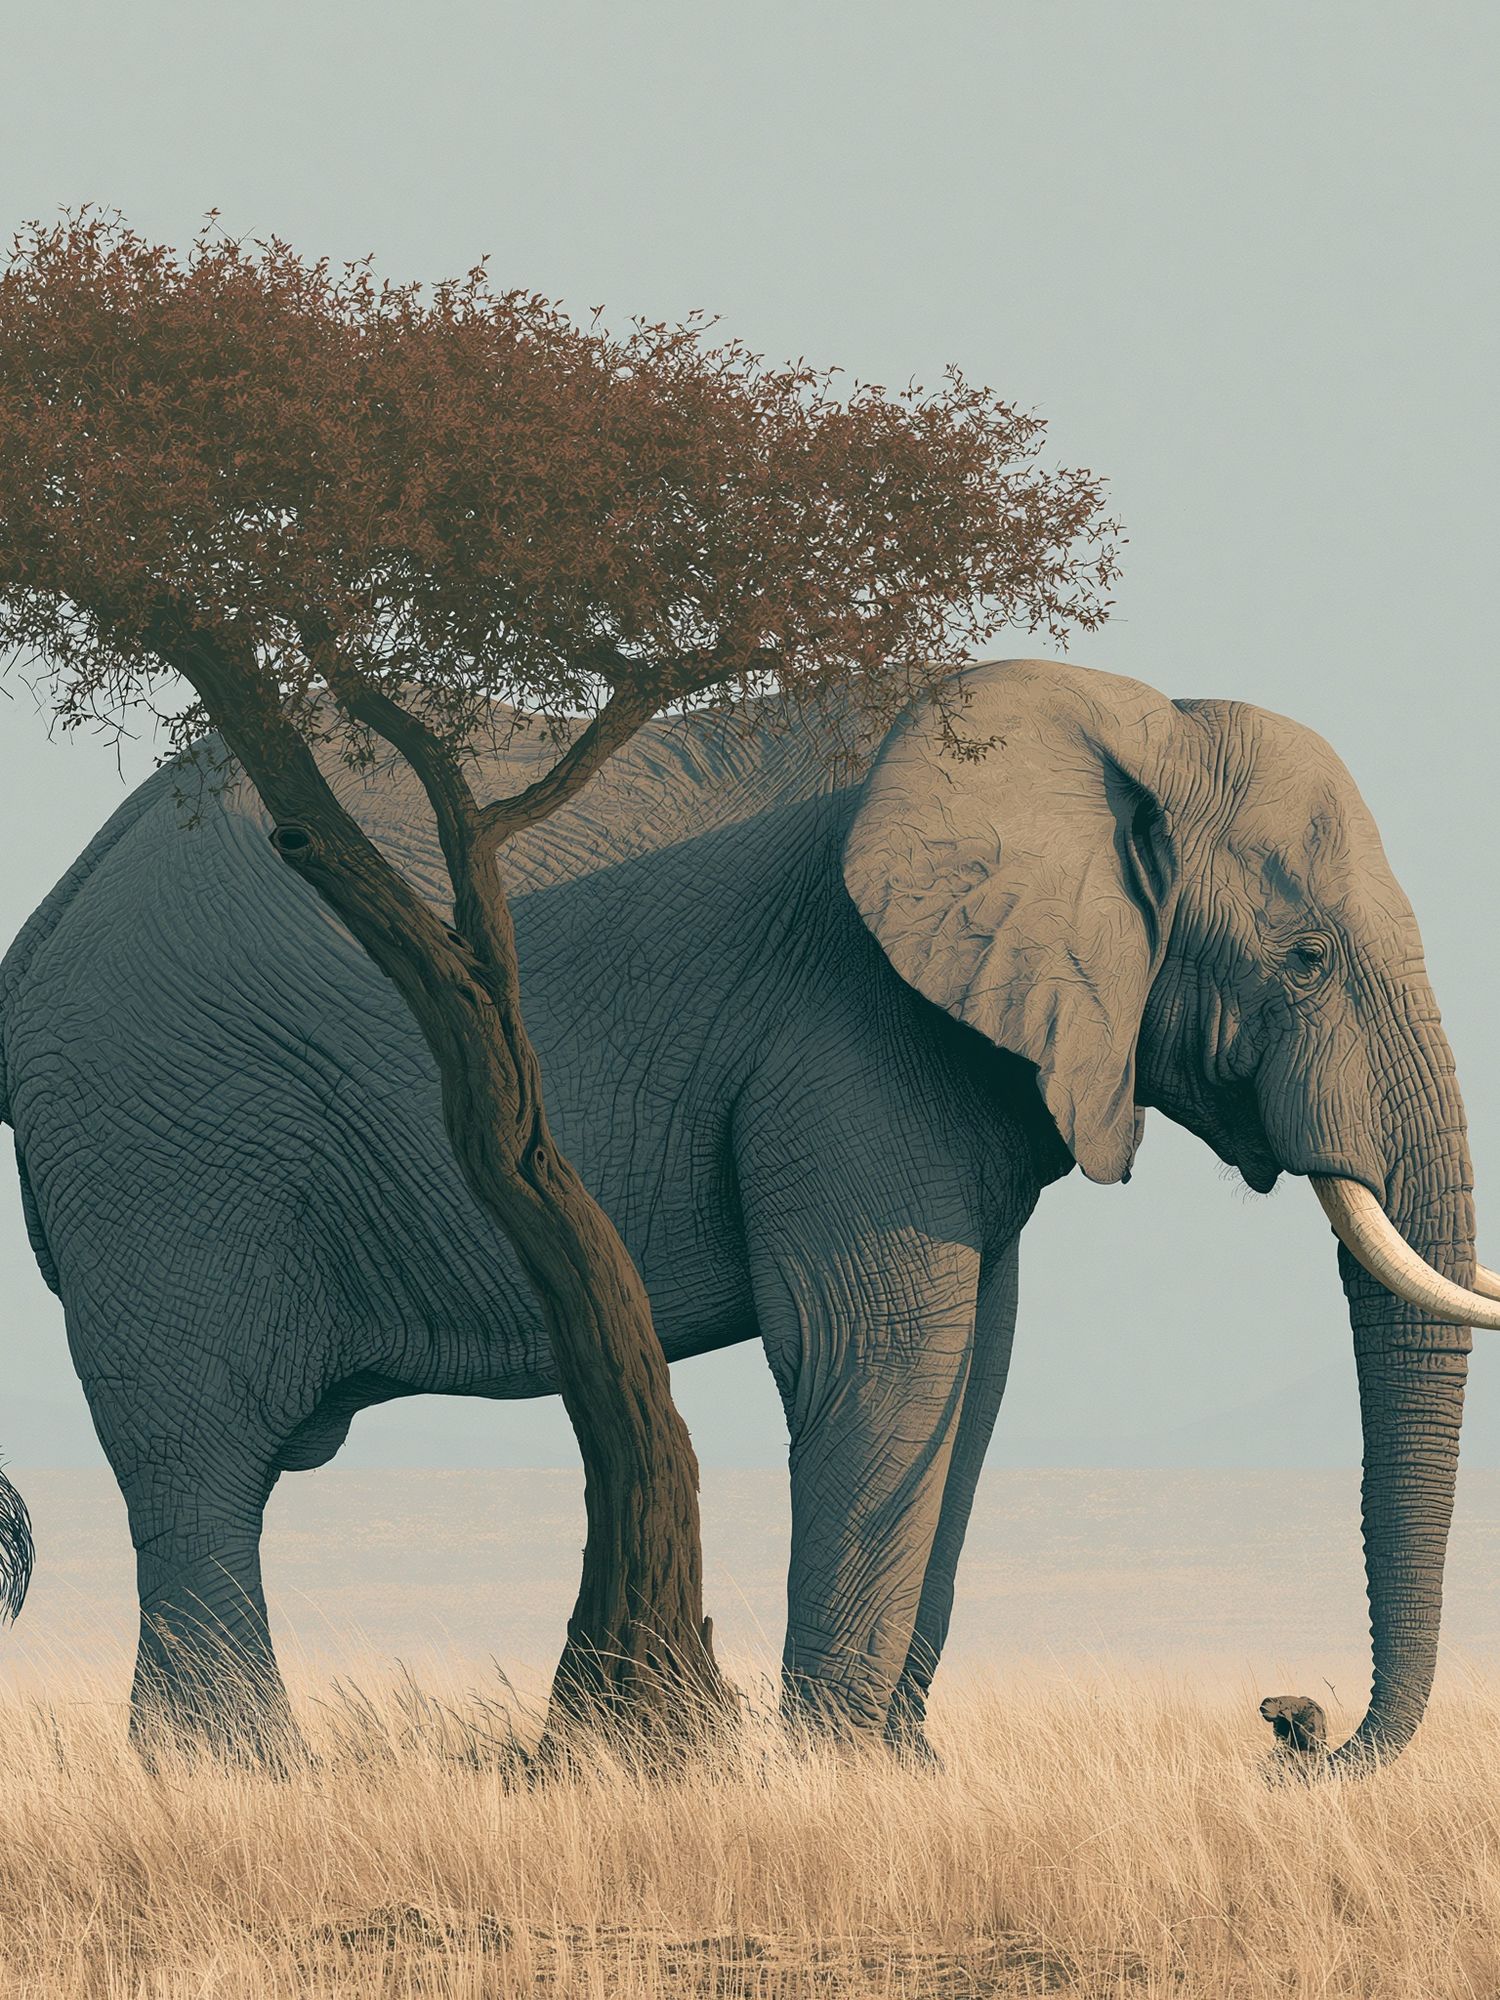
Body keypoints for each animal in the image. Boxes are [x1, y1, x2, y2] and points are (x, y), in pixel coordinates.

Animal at [2, 654, 1496, 1766]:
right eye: (1305, 959)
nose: (1292, 1718)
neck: (1121, 714)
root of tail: (44, 924)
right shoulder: (847, 1028)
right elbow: (878, 1356)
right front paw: (833, 1771)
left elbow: (977, 1377)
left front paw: (902, 1770)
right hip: (167, 1147)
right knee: (201, 1459)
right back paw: (237, 1771)